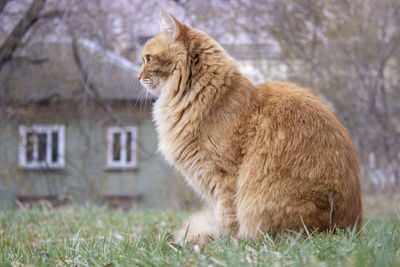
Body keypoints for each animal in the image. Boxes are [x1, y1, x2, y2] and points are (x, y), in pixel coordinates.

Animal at [138, 9, 362, 245]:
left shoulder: (224, 176)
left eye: (148, 59)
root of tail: (350, 229)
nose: (138, 77)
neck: (206, 94)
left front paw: (226, 243)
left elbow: (228, 216)